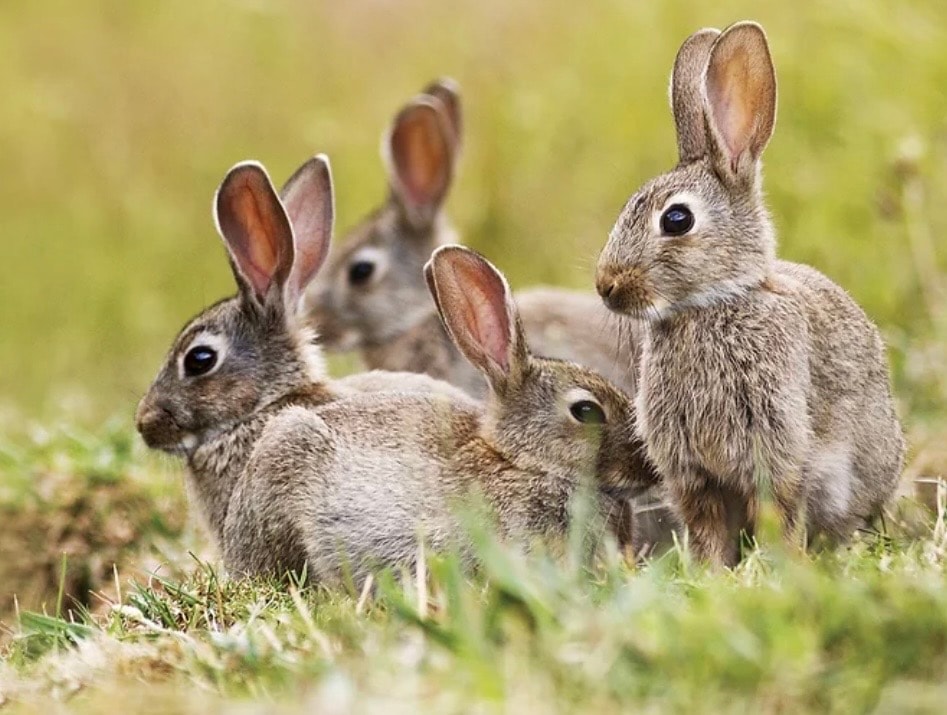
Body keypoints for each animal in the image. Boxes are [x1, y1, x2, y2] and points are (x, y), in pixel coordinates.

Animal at [595, 21, 905, 566]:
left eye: (677, 219)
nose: (605, 284)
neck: (712, 304)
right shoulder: (693, 474)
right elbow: (706, 527)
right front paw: (711, 572)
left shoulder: (776, 449)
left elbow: (778, 512)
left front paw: (781, 567)